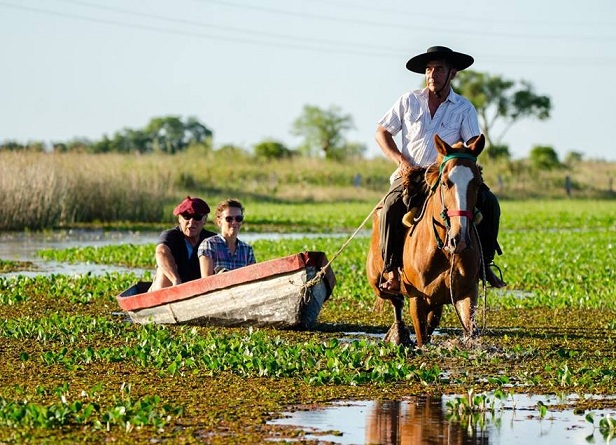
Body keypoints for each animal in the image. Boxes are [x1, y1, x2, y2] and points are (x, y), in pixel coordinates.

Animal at [366, 134, 486, 348]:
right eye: (445, 182)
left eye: (477, 183)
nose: (460, 239)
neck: (443, 251)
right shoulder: (418, 300)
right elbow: (421, 337)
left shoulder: (467, 293)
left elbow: (470, 329)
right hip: (378, 284)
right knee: (396, 301)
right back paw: (398, 334)